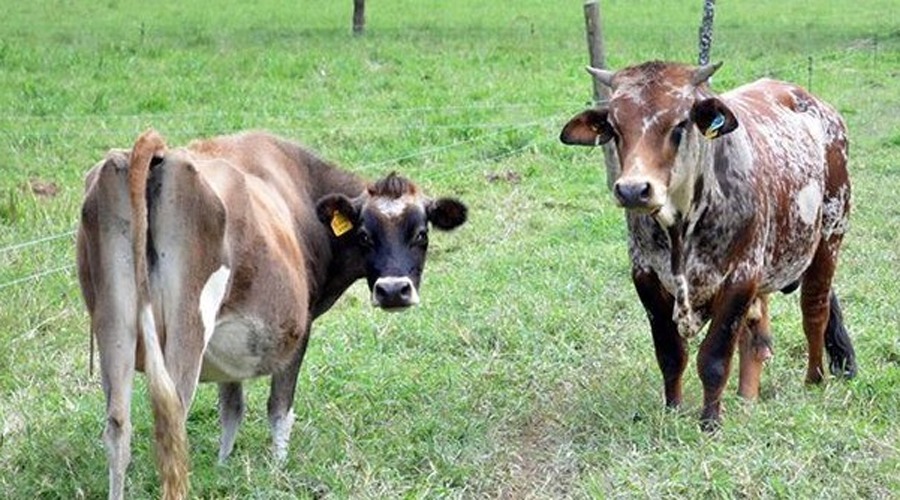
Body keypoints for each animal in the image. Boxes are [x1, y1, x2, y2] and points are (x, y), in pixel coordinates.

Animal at [76, 131, 468, 498]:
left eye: (421, 233)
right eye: (365, 235)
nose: (393, 290)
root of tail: (158, 153)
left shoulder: (229, 345)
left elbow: (231, 408)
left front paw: (223, 466)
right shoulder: (299, 329)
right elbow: (279, 409)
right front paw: (278, 470)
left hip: (113, 324)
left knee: (118, 428)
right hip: (187, 326)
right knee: (172, 424)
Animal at [560, 60, 856, 430]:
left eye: (679, 124)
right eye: (614, 127)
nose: (632, 190)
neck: (680, 227)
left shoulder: (740, 278)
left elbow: (714, 358)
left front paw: (710, 423)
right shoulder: (645, 277)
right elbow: (671, 354)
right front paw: (673, 409)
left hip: (829, 238)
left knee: (814, 311)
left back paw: (814, 380)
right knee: (756, 336)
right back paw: (746, 398)